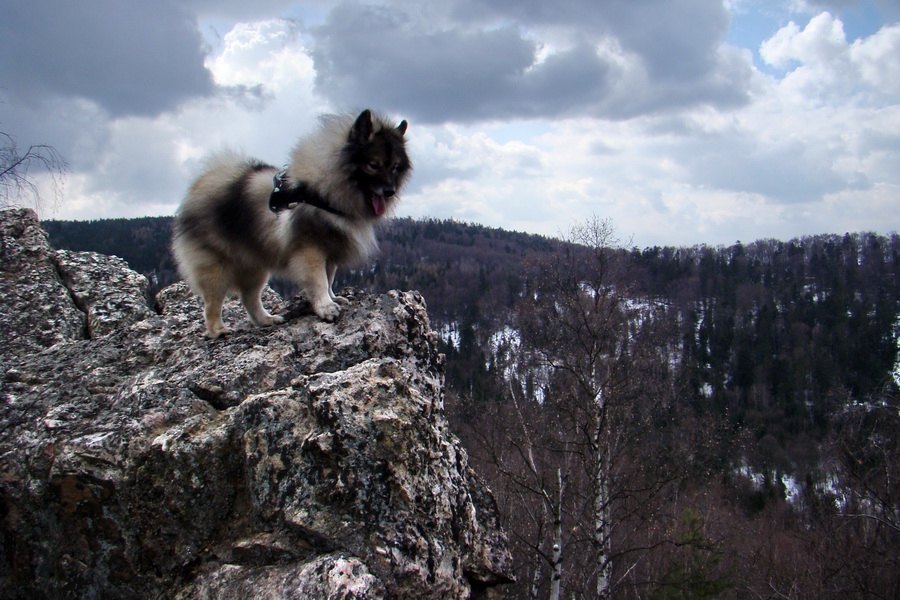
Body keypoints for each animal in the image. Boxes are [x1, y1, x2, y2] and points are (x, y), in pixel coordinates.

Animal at [171, 110, 412, 338]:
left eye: (395, 167)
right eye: (373, 165)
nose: (390, 191)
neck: (321, 192)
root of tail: (203, 184)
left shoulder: (331, 250)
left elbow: (329, 278)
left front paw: (333, 298)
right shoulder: (310, 249)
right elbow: (319, 280)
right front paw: (326, 307)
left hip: (255, 266)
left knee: (249, 297)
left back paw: (266, 320)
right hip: (216, 267)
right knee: (212, 302)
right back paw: (217, 330)